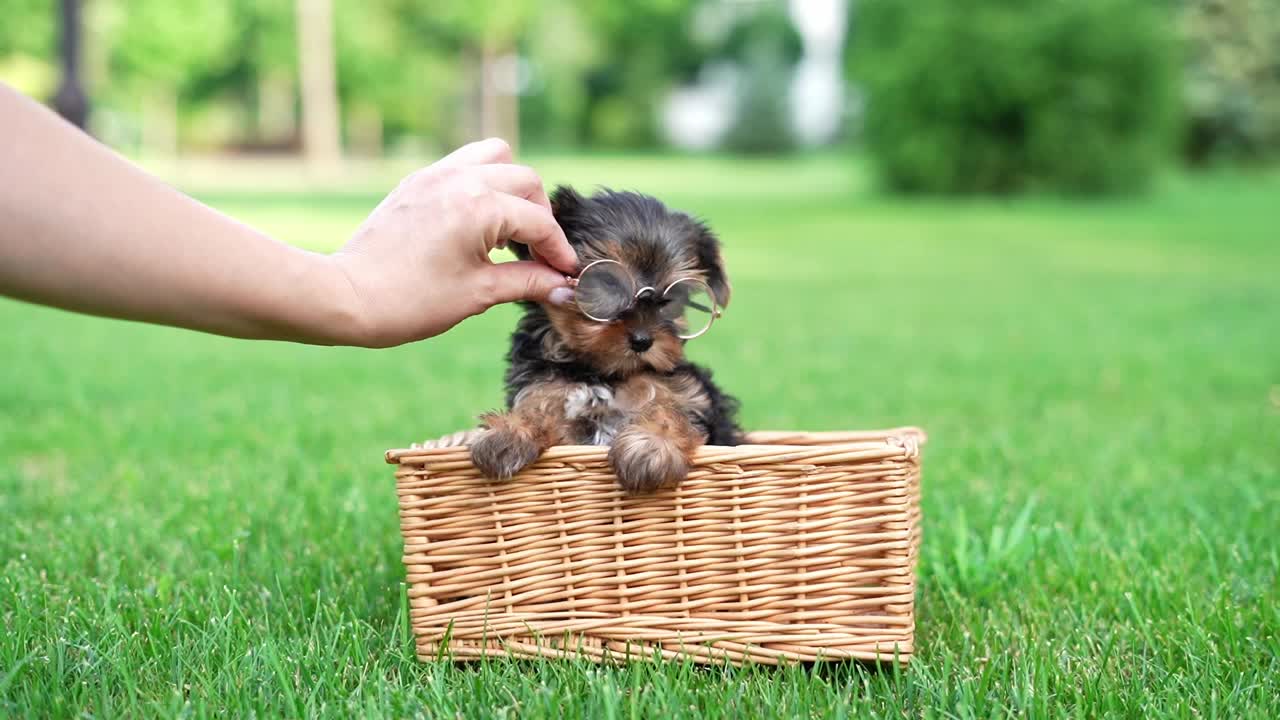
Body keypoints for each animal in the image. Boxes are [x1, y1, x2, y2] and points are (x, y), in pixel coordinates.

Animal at [473, 183, 747, 491]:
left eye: (671, 297)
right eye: (607, 282)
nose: (642, 340)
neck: (604, 373)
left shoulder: (688, 395)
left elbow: (671, 409)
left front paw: (651, 446)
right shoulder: (545, 390)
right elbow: (539, 408)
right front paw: (508, 432)